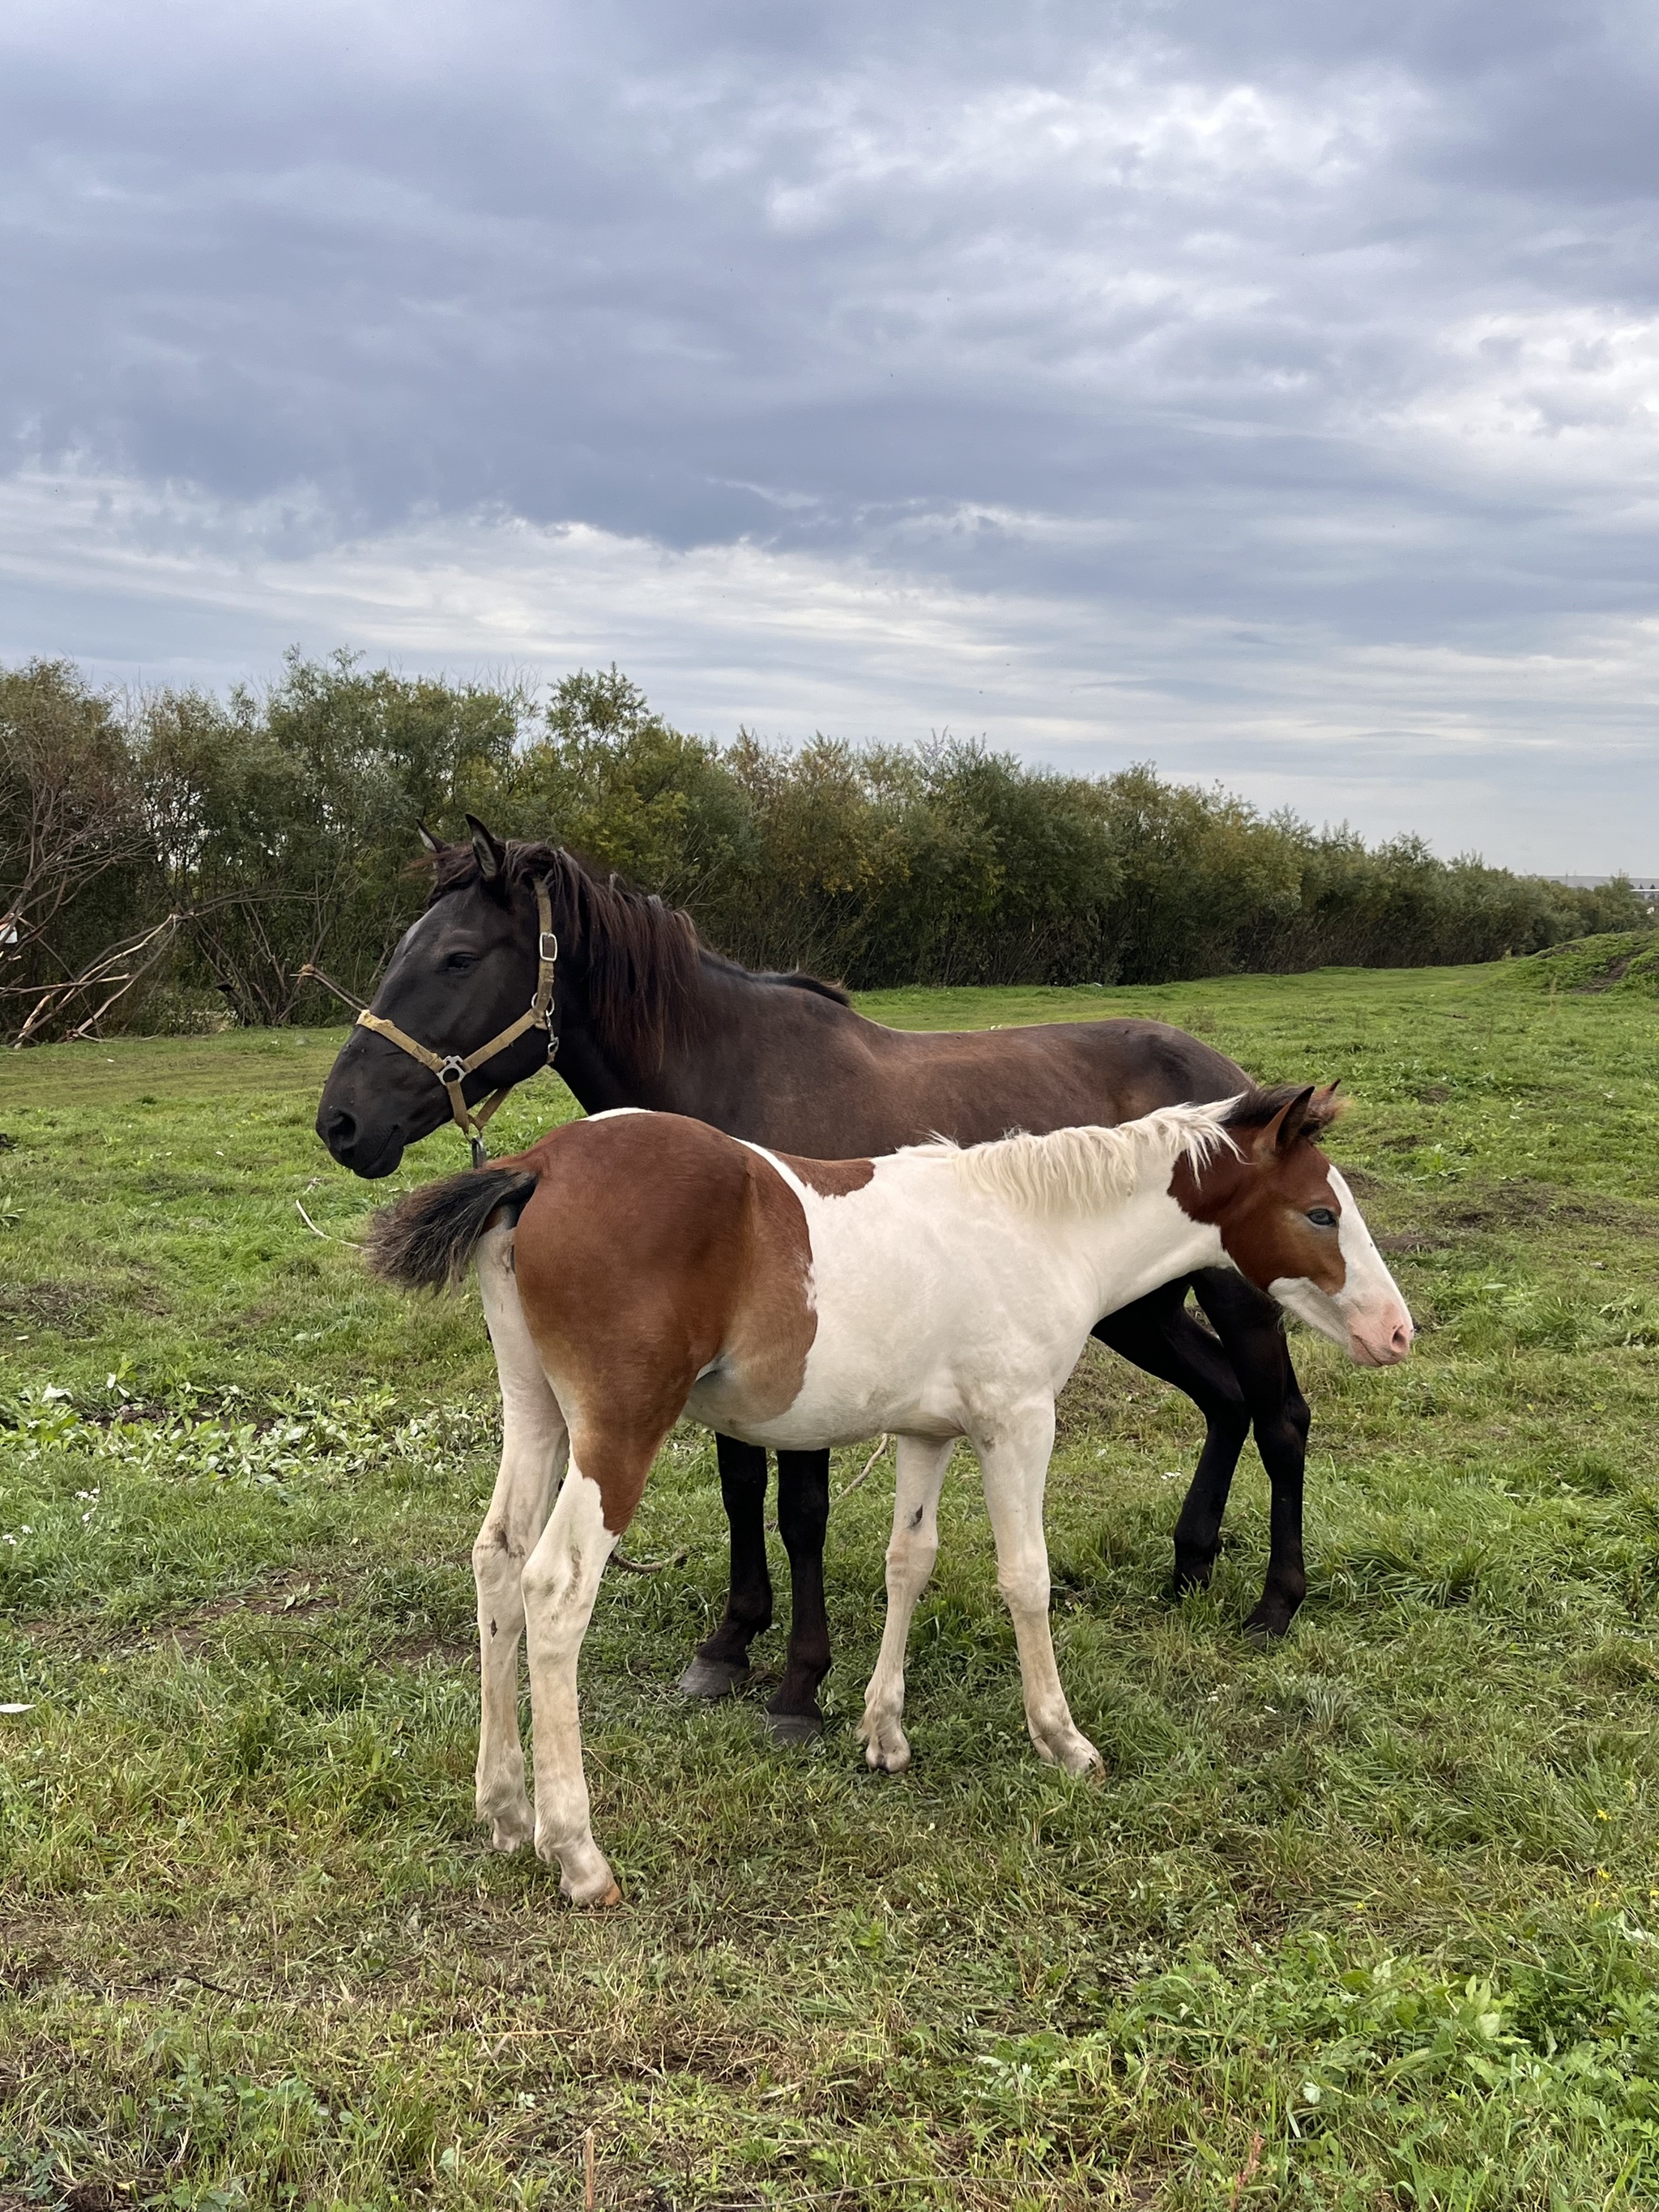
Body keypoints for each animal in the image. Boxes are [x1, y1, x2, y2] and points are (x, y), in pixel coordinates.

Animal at [318, 822, 1318, 1734]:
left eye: (456, 957)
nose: (341, 1123)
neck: (733, 1081)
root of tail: (1234, 1082)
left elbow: (800, 1511)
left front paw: (801, 1682)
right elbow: (739, 1491)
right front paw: (729, 1644)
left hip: (1236, 1298)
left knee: (1279, 1416)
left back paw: (1275, 1601)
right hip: (1139, 1311)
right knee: (1224, 1398)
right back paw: (1189, 1563)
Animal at [369, 1088, 1406, 1902]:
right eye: (1319, 1213)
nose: (1396, 1332)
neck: (1036, 1229)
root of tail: (538, 1163)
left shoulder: (927, 1432)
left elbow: (908, 1562)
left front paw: (883, 1732)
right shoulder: (1018, 1422)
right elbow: (1024, 1578)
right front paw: (1062, 1741)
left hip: (536, 1410)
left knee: (496, 1563)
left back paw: (504, 1809)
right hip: (618, 1428)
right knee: (555, 1588)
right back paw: (577, 1852)